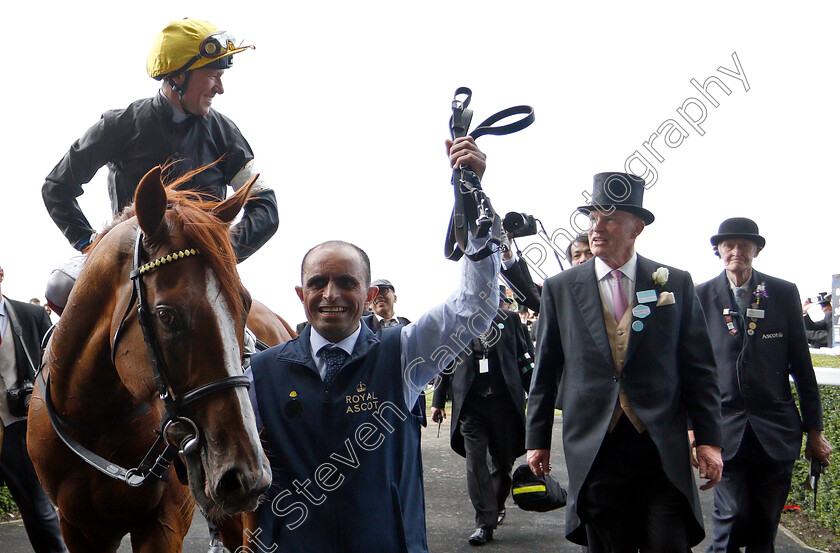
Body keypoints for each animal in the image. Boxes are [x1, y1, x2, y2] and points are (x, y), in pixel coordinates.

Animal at [27, 166, 278, 548]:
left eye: (244, 305)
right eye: (166, 315)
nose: (244, 474)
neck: (95, 422)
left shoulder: (164, 520)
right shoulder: (76, 527)